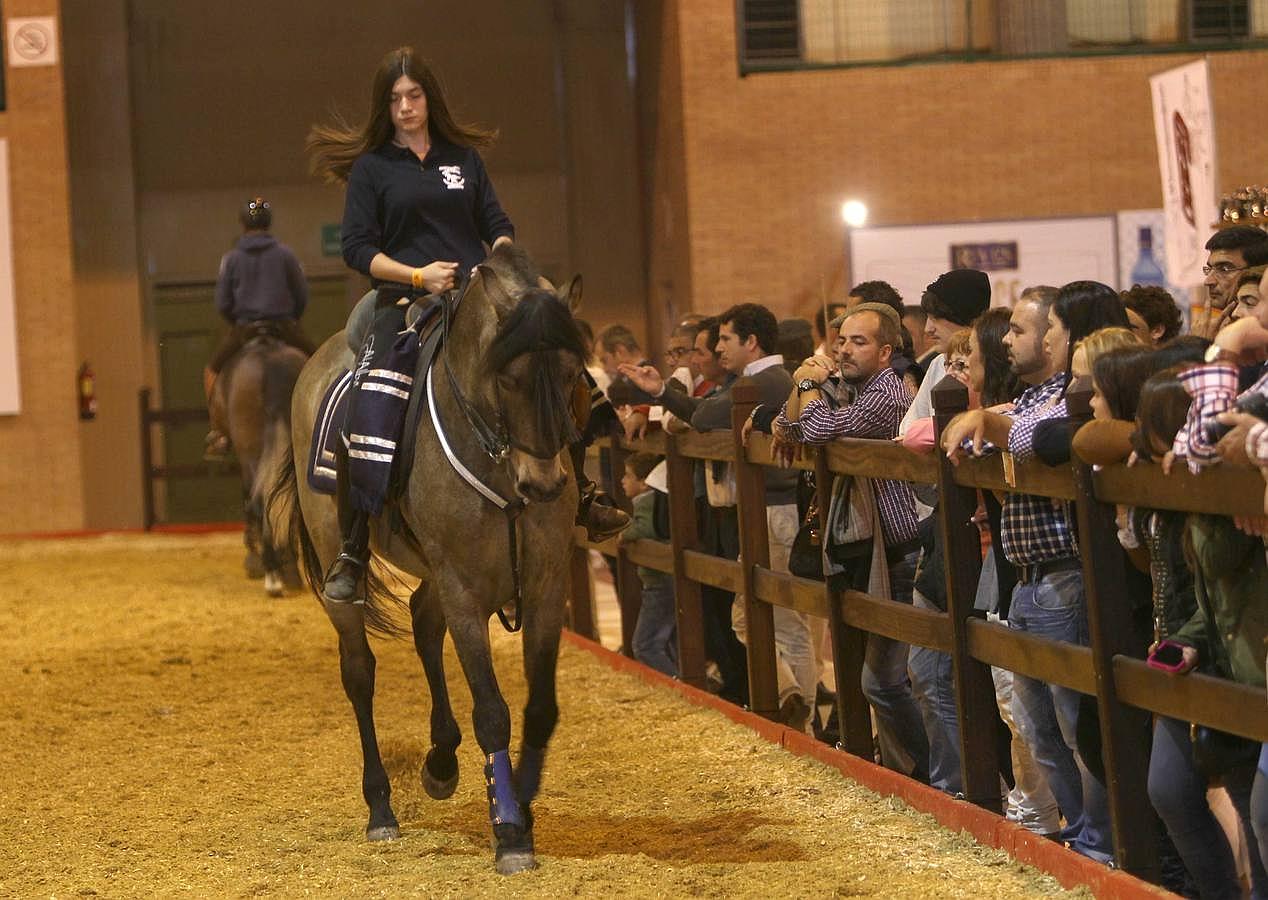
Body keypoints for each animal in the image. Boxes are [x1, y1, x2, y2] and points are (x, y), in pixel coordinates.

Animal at [266, 244, 588, 872]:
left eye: (570, 375)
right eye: (508, 378)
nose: (543, 484)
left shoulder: (544, 588)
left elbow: (541, 709)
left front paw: (521, 802)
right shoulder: (464, 590)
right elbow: (491, 711)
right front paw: (510, 832)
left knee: (421, 621)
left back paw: (441, 762)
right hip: (347, 564)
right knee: (359, 672)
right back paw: (381, 810)